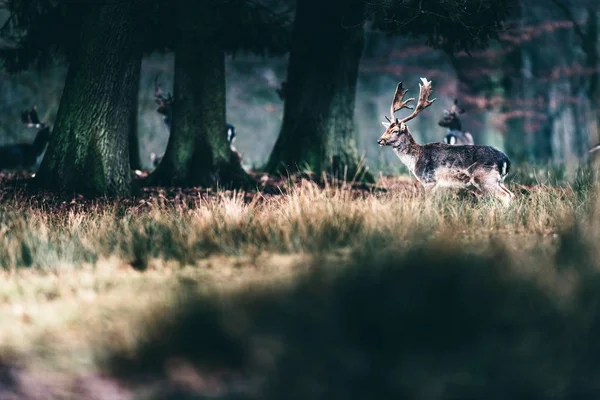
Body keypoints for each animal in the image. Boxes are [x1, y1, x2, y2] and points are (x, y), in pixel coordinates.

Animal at [378, 77, 512, 206]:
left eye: (395, 131)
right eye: (386, 129)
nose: (380, 140)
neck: (415, 160)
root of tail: (505, 160)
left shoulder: (429, 181)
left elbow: (428, 203)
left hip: (485, 178)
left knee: (505, 196)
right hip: (499, 181)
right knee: (511, 194)